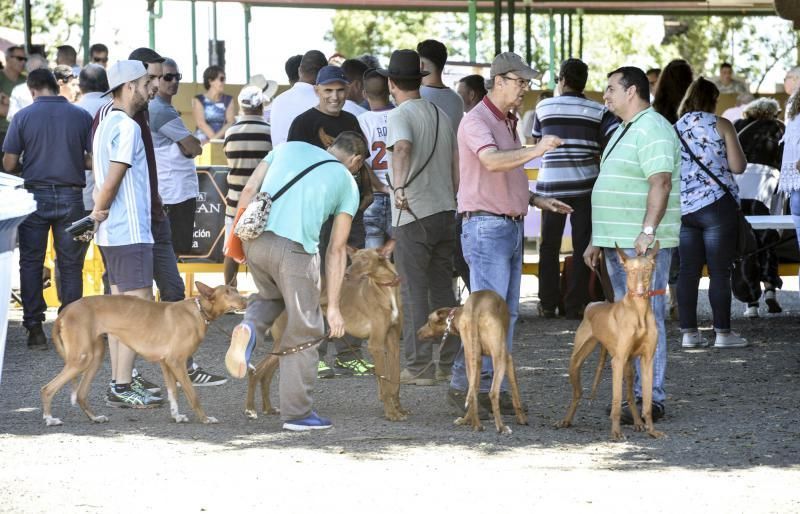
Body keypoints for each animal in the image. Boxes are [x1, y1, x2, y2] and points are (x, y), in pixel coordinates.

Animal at [40, 280, 245, 424]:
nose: (246, 300)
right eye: (227, 292)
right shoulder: (176, 361)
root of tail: (66, 310)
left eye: (235, 289)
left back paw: (95, 418)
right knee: (47, 388)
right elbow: (193, 395)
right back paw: (50, 419)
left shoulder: (166, 363)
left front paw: (176, 416)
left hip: (95, 357)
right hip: (81, 359)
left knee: (81, 394)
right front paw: (205, 419)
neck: (198, 311)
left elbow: (173, 394)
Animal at [244, 244, 406, 420]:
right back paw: (250, 409)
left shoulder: (393, 343)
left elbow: (395, 381)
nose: (346, 274)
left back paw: (268, 408)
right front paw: (391, 412)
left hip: (286, 347)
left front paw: (399, 408)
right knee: (256, 371)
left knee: (264, 374)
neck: (386, 288)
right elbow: (385, 382)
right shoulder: (375, 345)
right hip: (288, 343)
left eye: (364, 259)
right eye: (352, 259)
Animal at [416, 288, 528, 432]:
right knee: (493, 392)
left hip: (472, 360)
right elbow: (516, 394)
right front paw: (522, 419)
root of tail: (475, 307)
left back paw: (475, 424)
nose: (418, 333)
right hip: (499, 357)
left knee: (473, 391)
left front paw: (467, 420)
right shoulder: (509, 359)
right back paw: (501, 427)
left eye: (428, 322)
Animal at [556, 242, 664, 438]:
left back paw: (638, 423)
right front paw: (616, 432)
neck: (639, 311)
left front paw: (652, 431)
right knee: (577, 394)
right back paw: (566, 420)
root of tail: (594, 304)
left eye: (647, 269)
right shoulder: (617, 361)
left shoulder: (647, 361)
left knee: (630, 396)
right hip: (576, 361)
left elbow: (646, 403)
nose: (640, 290)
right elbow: (616, 400)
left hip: (628, 368)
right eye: (630, 271)